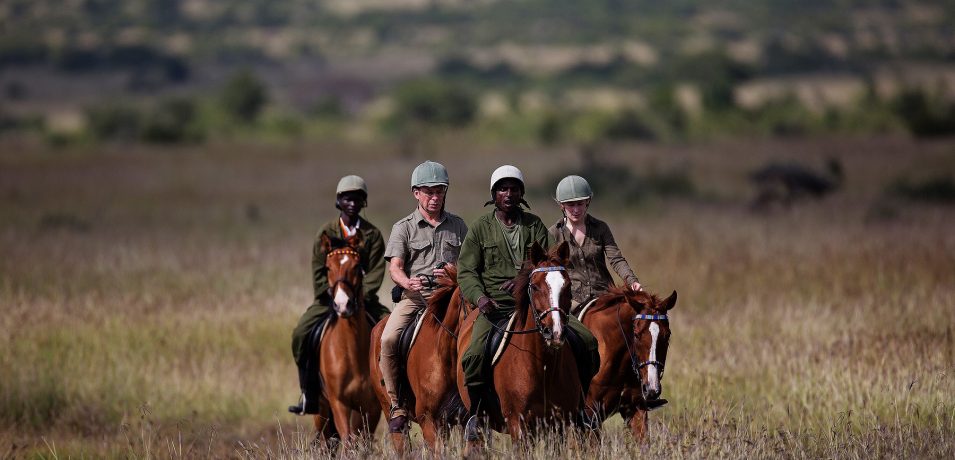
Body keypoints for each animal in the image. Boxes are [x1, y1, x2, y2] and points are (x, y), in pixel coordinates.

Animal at [316, 235, 386, 444]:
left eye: (356, 266)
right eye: (328, 268)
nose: (342, 305)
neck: (351, 352)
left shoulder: (371, 407)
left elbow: (363, 440)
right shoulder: (339, 403)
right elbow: (348, 440)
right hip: (322, 410)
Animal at [456, 241, 584, 450]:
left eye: (568, 286)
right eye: (535, 286)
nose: (555, 332)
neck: (543, 368)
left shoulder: (560, 423)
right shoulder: (518, 423)